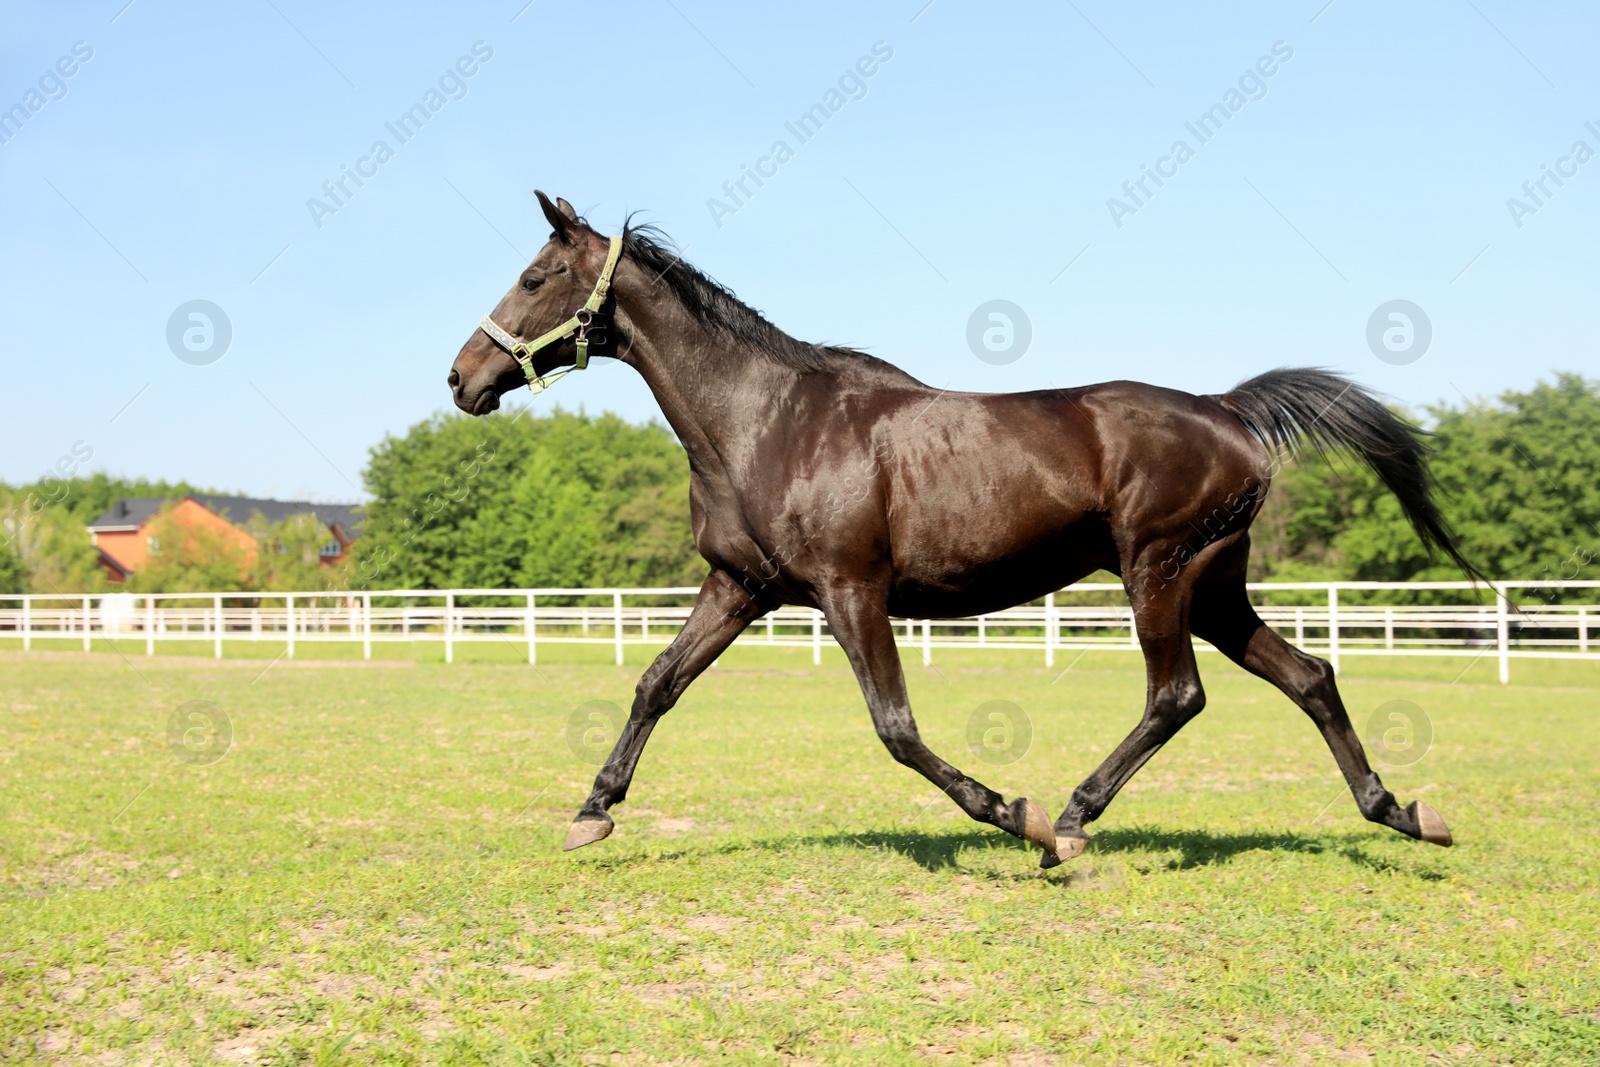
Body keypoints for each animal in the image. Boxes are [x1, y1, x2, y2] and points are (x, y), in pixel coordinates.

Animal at [444, 194, 1465, 870]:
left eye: (535, 276)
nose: (460, 378)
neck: (766, 420)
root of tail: (1227, 410)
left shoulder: (851, 591)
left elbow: (896, 727)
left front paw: (1013, 811)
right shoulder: (741, 588)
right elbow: (657, 683)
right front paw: (592, 810)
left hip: (1159, 572)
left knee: (1177, 696)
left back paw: (1071, 821)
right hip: (1214, 587)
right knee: (1310, 676)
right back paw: (1402, 812)